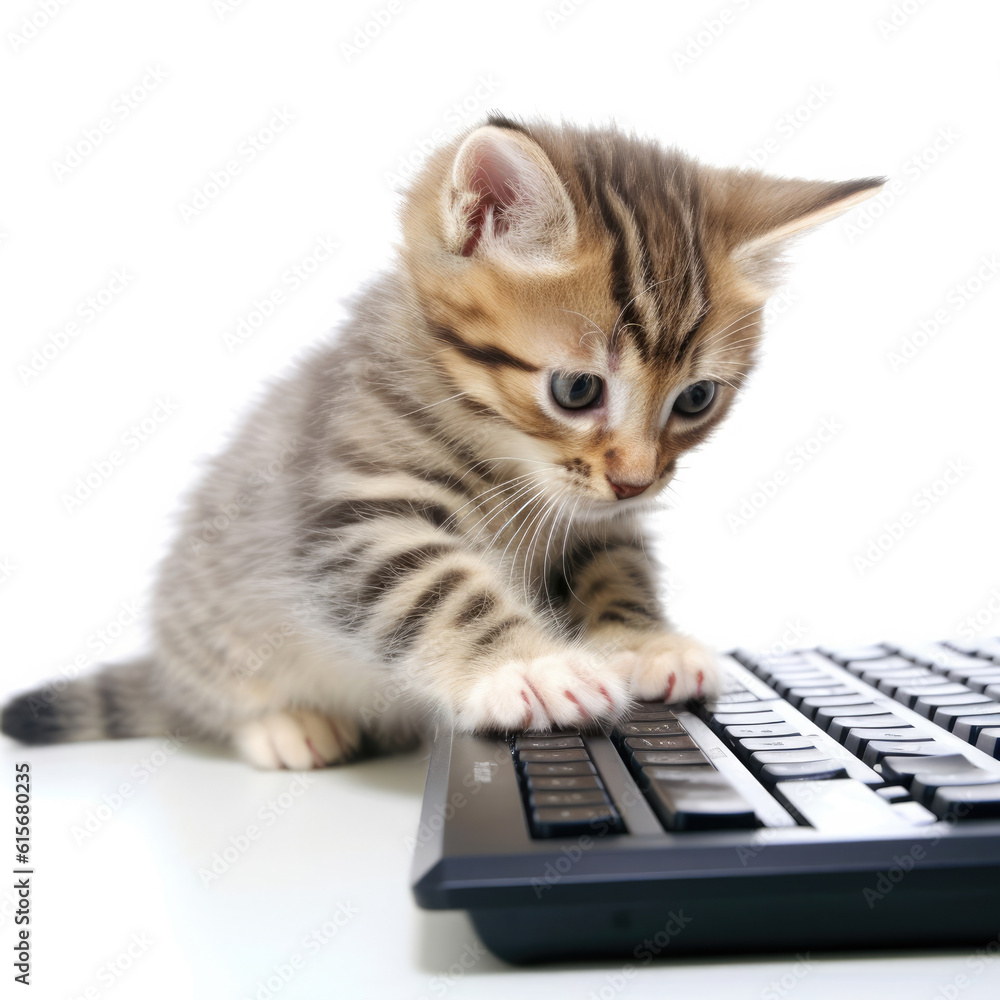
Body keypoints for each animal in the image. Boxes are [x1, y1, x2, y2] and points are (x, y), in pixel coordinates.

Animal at [0, 119, 880, 772]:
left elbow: (616, 566)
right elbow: (436, 587)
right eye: (576, 390)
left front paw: (643, 642)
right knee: (206, 699)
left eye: (696, 400)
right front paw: (530, 667)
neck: (505, 452)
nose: (638, 480)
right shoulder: (359, 509)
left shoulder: (597, 521)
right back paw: (286, 724)